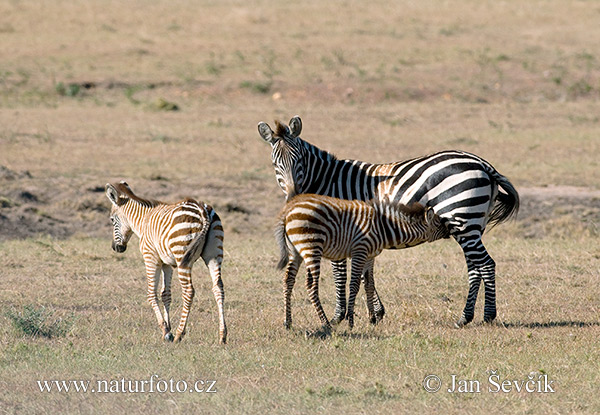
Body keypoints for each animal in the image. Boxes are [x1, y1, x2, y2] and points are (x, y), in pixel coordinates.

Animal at [104, 182, 226, 344]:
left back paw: (180, 333)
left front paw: (166, 331)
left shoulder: (150, 258)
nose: (116, 248)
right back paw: (222, 335)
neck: (143, 221)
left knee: (189, 291)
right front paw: (167, 329)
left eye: (112, 220)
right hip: (214, 254)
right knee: (218, 287)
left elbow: (151, 294)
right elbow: (165, 294)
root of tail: (202, 209)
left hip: (182, 256)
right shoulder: (167, 263)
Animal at [274, 194, 448, 332]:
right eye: (438, 223)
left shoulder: (369, 256)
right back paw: (325, 323)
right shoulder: (360, 251)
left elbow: (369, 284)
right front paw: (351, 321)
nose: (451, 229)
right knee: (311, 285)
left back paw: (287, 322)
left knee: (288, 280)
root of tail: (287, 211)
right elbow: (355, 285)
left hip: (295, 251)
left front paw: (372, 319)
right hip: (312, 248)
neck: (383, 227)